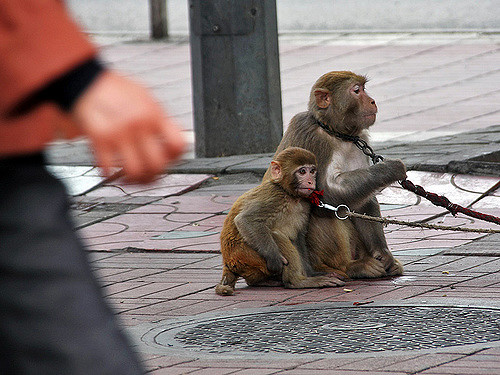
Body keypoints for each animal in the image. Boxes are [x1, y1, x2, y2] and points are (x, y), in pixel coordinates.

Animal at [215, 147, 344, 296]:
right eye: (302, 171)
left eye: (312, 171)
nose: (311, 182)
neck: (290, 195)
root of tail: (227, 263)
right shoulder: (274, 197)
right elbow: (246, 220)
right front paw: (275, 259)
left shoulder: (305, 204)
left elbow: (298, 237)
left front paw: (311, 273)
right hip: (245, 256)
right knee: (276, 235)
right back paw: (296, 282)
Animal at [266, 72, 406, 280]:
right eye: (356, 90)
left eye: (363, 88)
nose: (372, 101)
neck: (334, 132)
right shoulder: (313, 140)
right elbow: (324, 193)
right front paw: (390, 169)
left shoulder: (359, 140)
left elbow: (364, 202)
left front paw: (383, 254)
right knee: (328, 211)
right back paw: (351, 267)